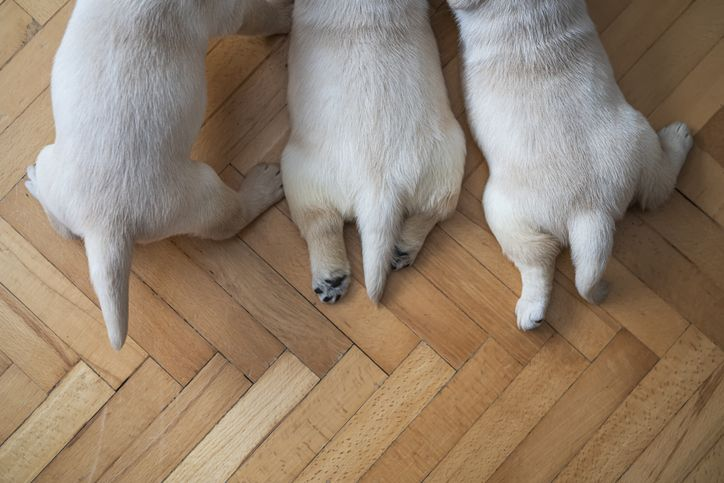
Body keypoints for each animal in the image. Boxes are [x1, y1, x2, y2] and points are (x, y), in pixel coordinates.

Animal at [25, 0, 292, 350]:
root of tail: (105, 227)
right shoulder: (235, 12)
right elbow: (263, 17)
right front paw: (289, 17)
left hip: (51, 163)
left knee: (63, 228)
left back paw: (34, 184)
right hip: (202, 194)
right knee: (230, 218)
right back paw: (262, 187)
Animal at [282, 0, 464, 302]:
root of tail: (378, 187)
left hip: (299, 171)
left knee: (321, 223)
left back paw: (331, 278)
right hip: (447, 157)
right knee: (433, 209)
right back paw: (402, 248)